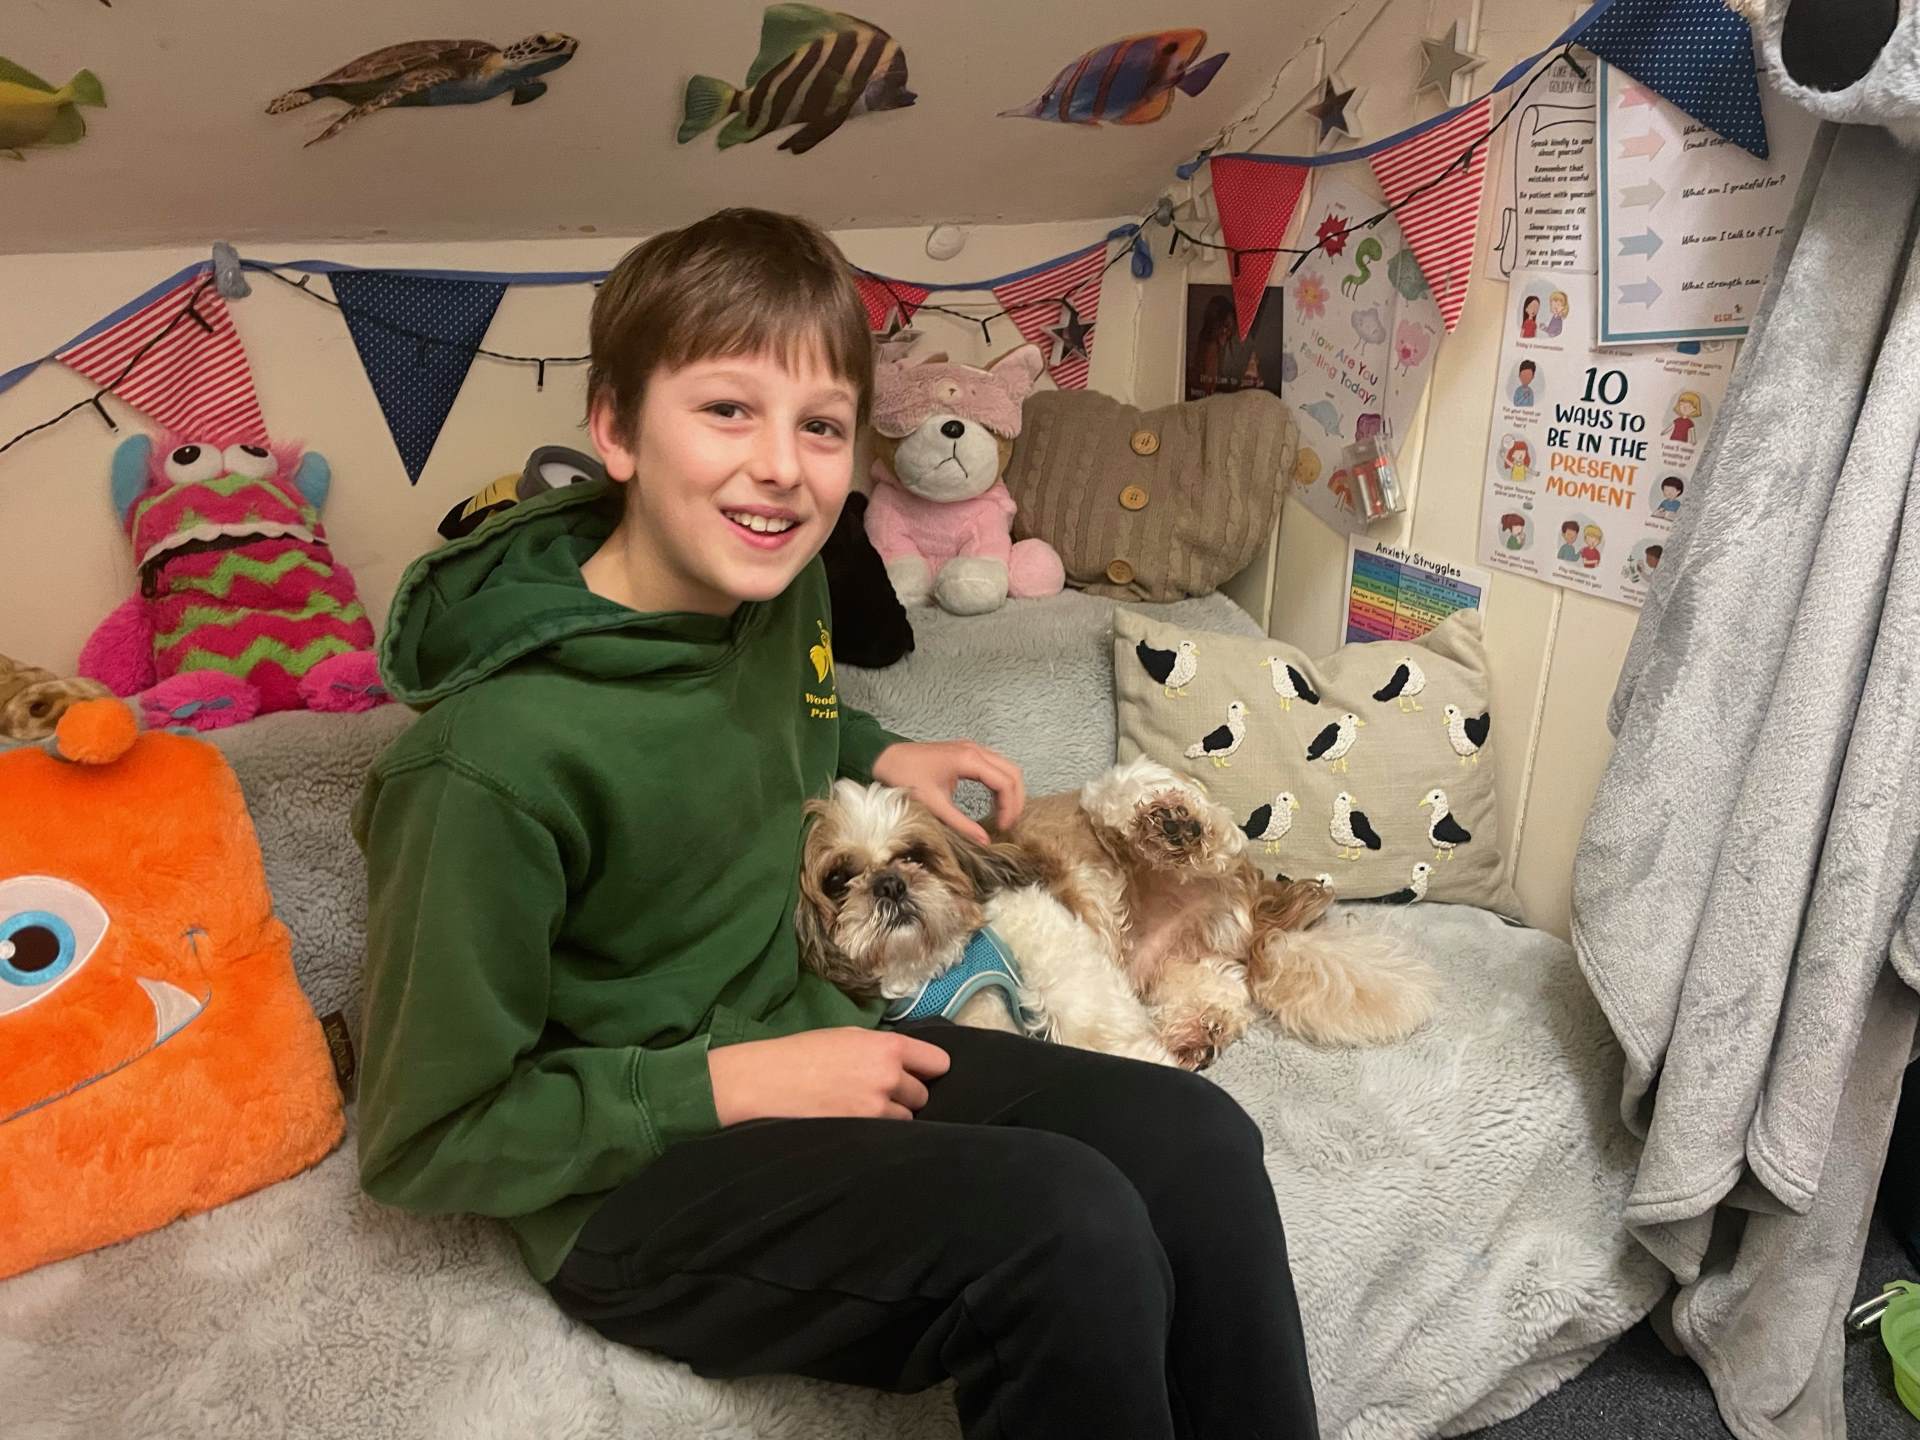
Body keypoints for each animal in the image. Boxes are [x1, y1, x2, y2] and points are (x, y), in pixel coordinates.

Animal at [797, 757, 1438, 1068]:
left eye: (916, 854)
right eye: (838, 880)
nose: (888, 884)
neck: (940, 970)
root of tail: (1253, 898)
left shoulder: (1045, 934)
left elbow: (1089, 1014)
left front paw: (1145, 1059)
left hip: (1125, 807)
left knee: (1165, 805)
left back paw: (1175, 823)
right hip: (1177, 965)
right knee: (1222, 989)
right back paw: (1197, 1032)